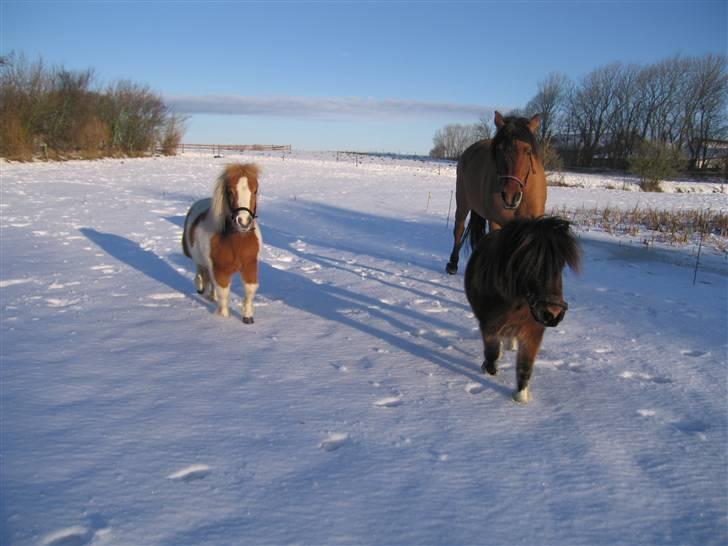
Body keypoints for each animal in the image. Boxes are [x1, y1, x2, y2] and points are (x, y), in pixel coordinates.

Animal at [446, 110, 544, 274]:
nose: (510, 196)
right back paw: (453, 263)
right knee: (459, 229)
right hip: (463, 201)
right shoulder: (496, 223)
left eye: (528, 151)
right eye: (499, 149)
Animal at [466, 215, 580, 402]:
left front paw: (521, 396)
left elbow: (525, 366)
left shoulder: (534, 331)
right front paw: (490, 368)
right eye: (529, 264)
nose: (553, 313)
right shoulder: (488, 326)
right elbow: (491, 353)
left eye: (561, 264)